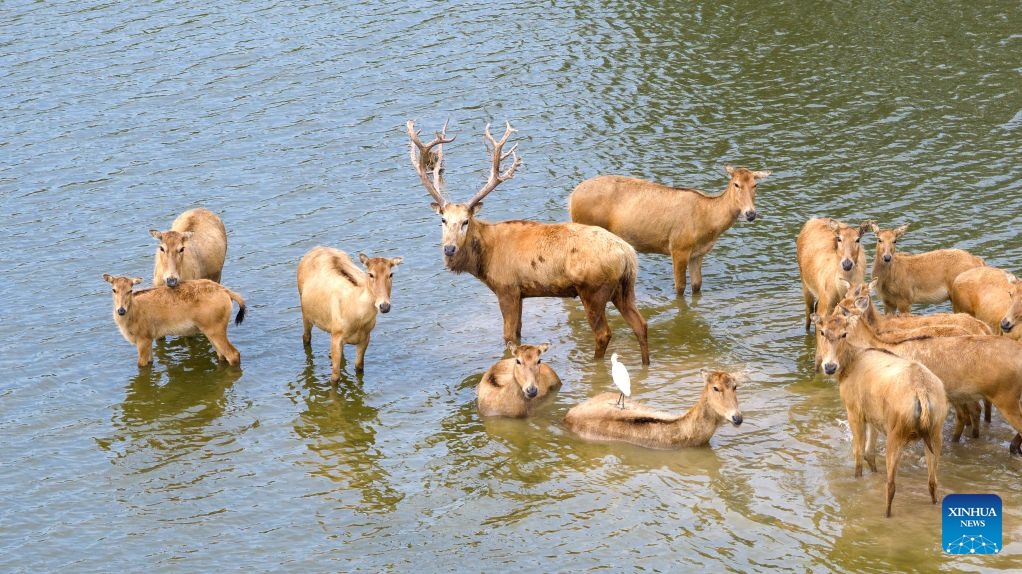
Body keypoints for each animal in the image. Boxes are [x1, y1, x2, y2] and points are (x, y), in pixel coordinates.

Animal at [103, 274, 246, 367]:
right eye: (114, 289)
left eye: (130, 290)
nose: (121, 310)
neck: (134, 310)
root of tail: (226, 291)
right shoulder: (149, 340)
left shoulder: (143, 340)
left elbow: (141, 365)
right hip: (210, 333)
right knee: (222, 356)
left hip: (216, 331)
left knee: (233, 355)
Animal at [297, 246, 403, 380]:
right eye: (370, 274)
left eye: (391, 274)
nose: (384, 306)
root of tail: (316, 248)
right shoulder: (336, 336)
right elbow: (335, 377)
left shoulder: (365, 337)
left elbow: (359, 368)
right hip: (305, 312)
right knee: (306, 338)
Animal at [406, 120, 649, 364]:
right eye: (443, 220)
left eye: (466, 221)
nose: (449, 248)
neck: (485, 259)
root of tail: (627, 254)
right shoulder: (521, 293)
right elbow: (519, 332)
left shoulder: (507, 288)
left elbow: (509, 337)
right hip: (624, 288)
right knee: (641, 324)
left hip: (593, 290)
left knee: (603, 333)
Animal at [567, 165, 771, 296]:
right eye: (736, 184)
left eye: (755, 184)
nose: (750, 213)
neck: (709, 223)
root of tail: (571, 197)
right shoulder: (679, 247)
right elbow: (680, 287)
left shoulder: (698, 253)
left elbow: (697, 285)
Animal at [812, 311, 946, 518]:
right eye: (822, 331)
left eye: (844, 334)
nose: (829, 367)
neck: (850, 364)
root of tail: (921, 392)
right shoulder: (873, 417)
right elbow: (870, 452)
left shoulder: (854, 411)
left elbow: (859, 453)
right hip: (935, 433)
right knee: (933, 482)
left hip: (896, 434)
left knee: (891, 485)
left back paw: (886, 514)